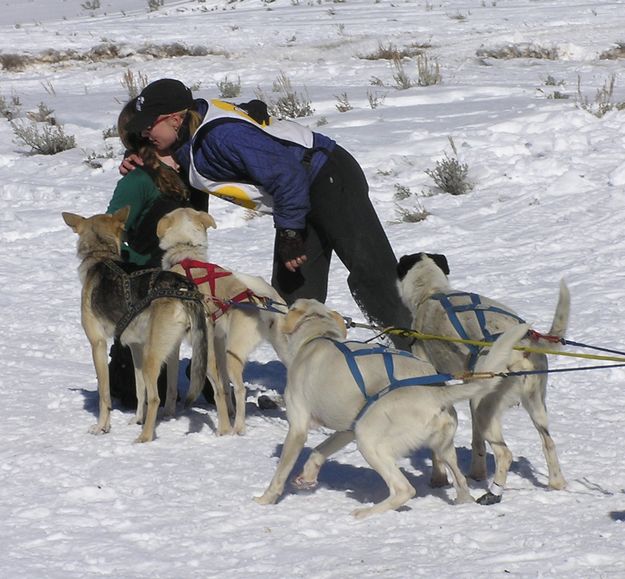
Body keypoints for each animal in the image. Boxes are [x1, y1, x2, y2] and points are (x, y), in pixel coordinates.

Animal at [63, 208, 210, 444]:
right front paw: (137, 418)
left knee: (156, 398)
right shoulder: (135, 347)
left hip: (154, 356)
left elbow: (105, 395)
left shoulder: (98, 344)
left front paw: (102, 427)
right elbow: (140, 391)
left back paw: (144, 437)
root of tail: (183, 288)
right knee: (166, 392)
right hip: (178, 350)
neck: (101, 255)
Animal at [158, 208, 290, 436]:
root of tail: (260, 300)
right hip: (282, 350)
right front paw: (228, 411)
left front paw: (168, 414)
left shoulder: (179, 345)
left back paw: (234, 428)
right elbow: (225, 389)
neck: (186, 252)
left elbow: (173, 386)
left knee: (237, 389)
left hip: (229, 355)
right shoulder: (218, 340)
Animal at [254, 296, 528, 520]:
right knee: (460, 482)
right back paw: (463, 501)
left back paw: (365, 513)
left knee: (404, 489)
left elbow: (281, 472)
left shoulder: (298, 428)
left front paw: (265, 499)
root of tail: (435, 391)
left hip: (369, 440)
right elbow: (318, 452)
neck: (318, 337)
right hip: (439, 448)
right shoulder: (347, 430)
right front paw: (308, 476)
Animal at [398, 254, 568, 502]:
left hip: (486, 410)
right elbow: (477, 442)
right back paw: (556, 483)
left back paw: (493, 493)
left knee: (505, 453)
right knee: (549, 442)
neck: (432, 291)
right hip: (533, 406)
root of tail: (522, 346)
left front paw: (438, 479)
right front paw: (477, 473)